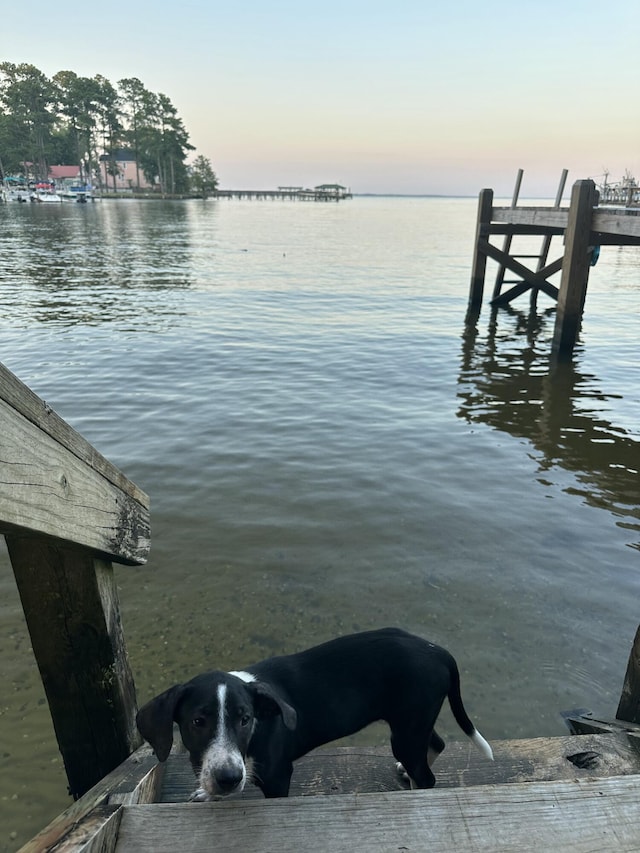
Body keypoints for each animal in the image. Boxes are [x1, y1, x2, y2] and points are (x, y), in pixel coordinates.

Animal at [138, 624, 492, 800]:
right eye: (197, 722)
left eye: (245, 719)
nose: (228, 779)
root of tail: (438, 650)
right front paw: (206, 792)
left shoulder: (278, 776)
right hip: (412, 719)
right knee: (435, 744)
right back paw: (407, 773)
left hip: (407, 727)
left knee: (428, 776)